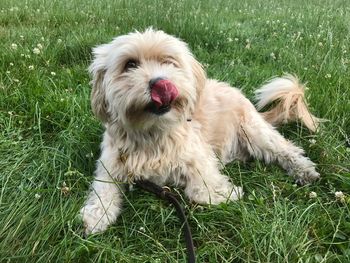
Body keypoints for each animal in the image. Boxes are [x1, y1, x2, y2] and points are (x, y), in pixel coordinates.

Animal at [80, 29, 322, 235]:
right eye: (130, 64)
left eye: (169, 61)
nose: (161, 83)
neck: (153, 133)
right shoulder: (110, 164)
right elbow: (103, 190)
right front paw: (96, 215)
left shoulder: (200, 158)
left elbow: (200, 192)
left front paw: (226, 193)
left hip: (254, 132)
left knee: (286, 149)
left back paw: (303, 170)